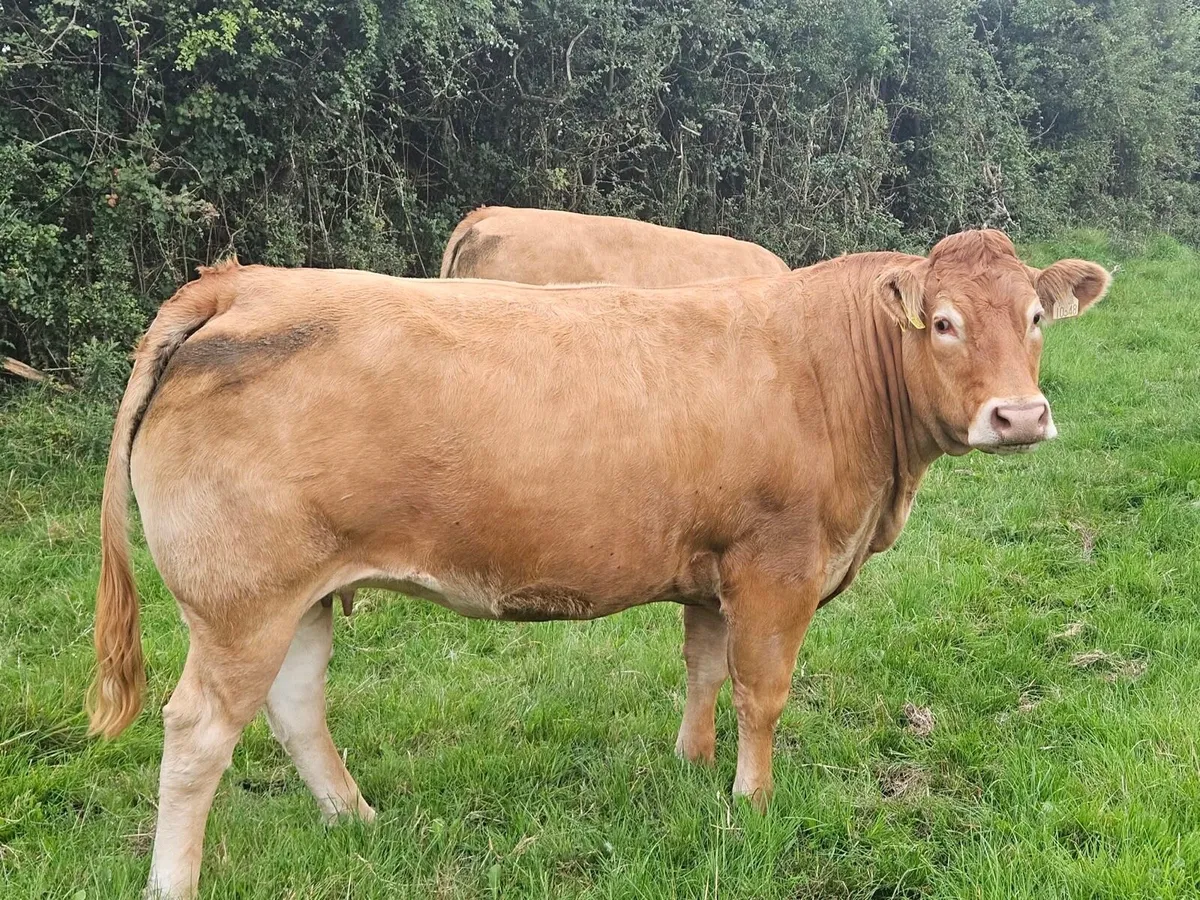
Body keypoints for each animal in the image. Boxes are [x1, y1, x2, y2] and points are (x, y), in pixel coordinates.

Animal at [89, 230, 1109, 898]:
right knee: (198, 733)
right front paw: (752, 802)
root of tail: (241, 285)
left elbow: (704, 672)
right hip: (241, 600)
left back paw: (358, 820)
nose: (1021, 416)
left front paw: (695, 767)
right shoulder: (777, 566)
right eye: (941, 322)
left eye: (1035, 317)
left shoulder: (712, 570)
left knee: (295, 704)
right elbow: (762, 692)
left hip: (298, 593)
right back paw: (175, 882)